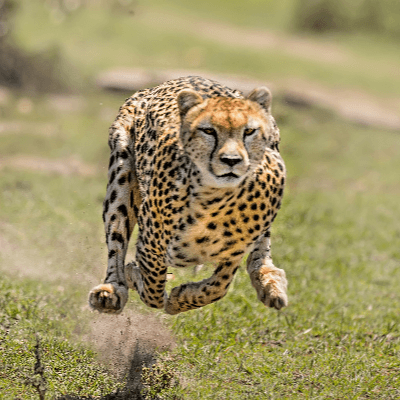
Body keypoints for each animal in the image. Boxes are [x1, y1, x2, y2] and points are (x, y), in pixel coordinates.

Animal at [89, 76, 288, 316]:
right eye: (208, 131)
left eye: (249, 131)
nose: (231, 160)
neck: (215, 201)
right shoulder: (151, 244)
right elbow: (153, 290)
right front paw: (136, 277)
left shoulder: (234, 252)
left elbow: (218, 286)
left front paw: (181, 298)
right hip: (121, 174)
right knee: (116, 238)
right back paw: (111, 290)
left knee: (261, 251)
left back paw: (270, 283)